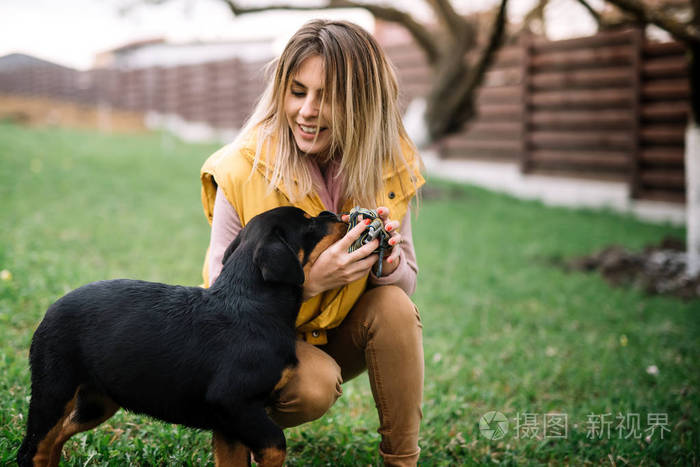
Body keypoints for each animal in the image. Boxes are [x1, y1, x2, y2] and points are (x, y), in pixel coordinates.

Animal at [20, 207, 348, 467]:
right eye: (308, 223)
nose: (334, 215)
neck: (255, 302)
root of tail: (50, 310)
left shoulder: (231, 424)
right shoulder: (235, 403)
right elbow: (276, 445)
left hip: (97, 401)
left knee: (55, 438)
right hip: (55, 388)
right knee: (34, 447)